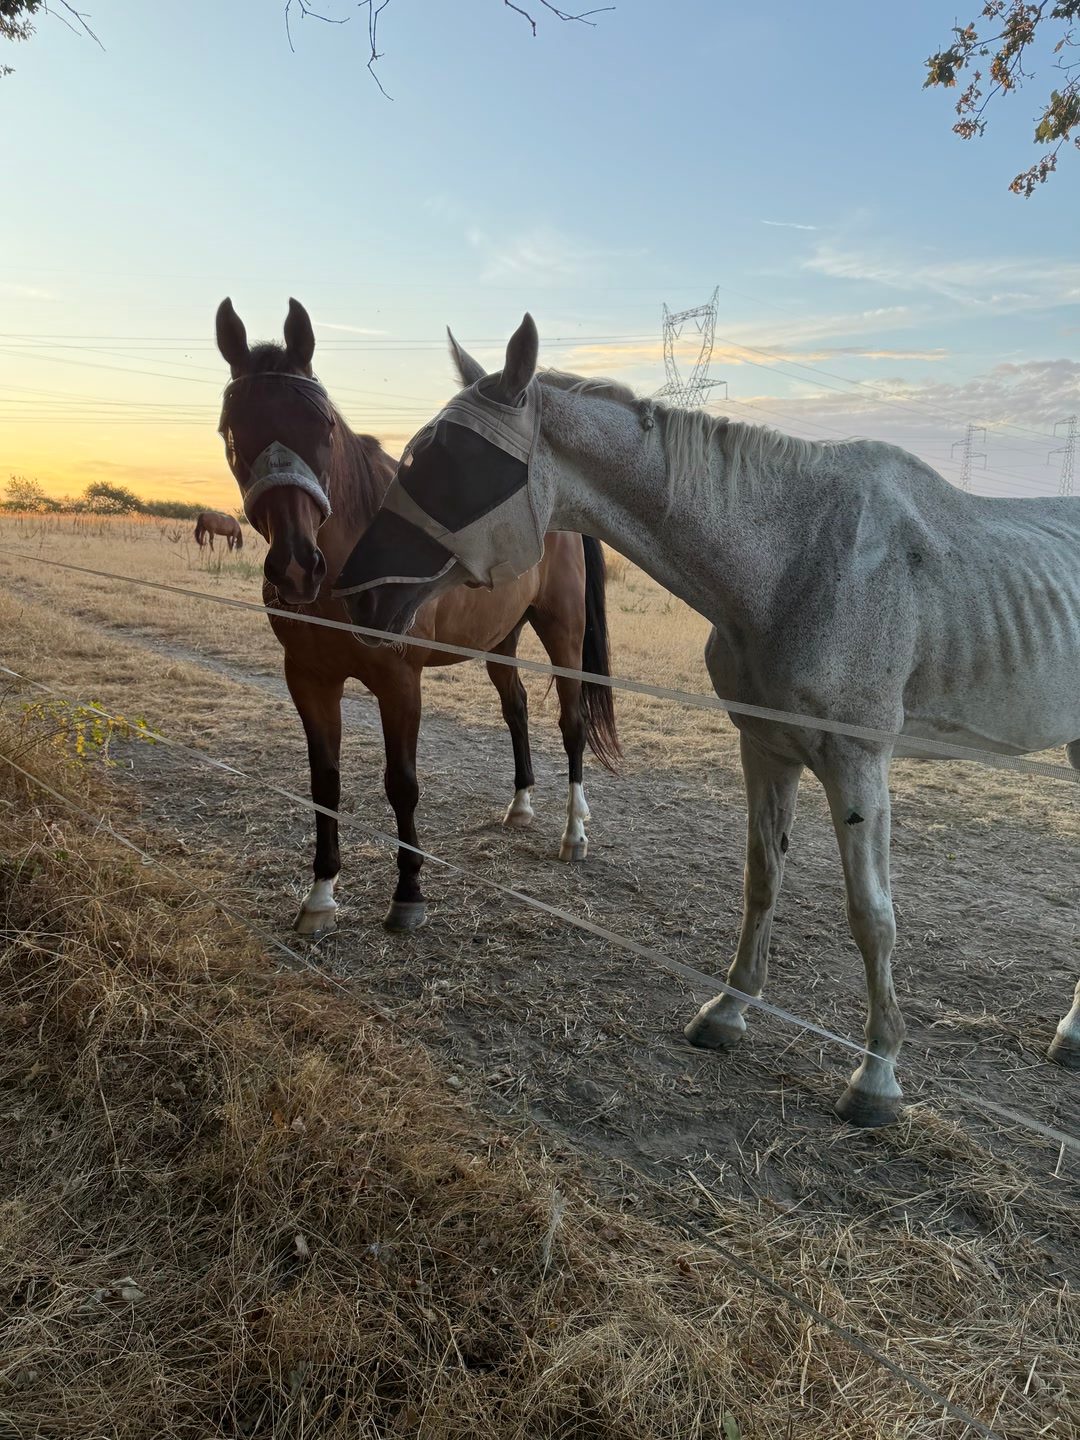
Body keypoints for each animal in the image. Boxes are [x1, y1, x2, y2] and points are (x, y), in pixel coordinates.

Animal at [214, 298, 619, 935]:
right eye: (233, 431)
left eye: (324, 427)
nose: (298, 566)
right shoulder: (307, 678)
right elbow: (324, 782)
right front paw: (321, 895)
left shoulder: (399, 681)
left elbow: (401, 783)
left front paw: (408, 894)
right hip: (500, 637)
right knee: (517, 708)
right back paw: (521, 804)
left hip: (564, 629)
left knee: (572, 724)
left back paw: (573, 833)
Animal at [340, 312, 1080, 1128]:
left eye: (456, 465)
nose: (357, 595)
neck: (792, 561)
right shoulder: (766, 748)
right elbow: (762, 878)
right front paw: (728, 1012)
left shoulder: (858, 762)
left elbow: (872, 915)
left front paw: (877, 1073)